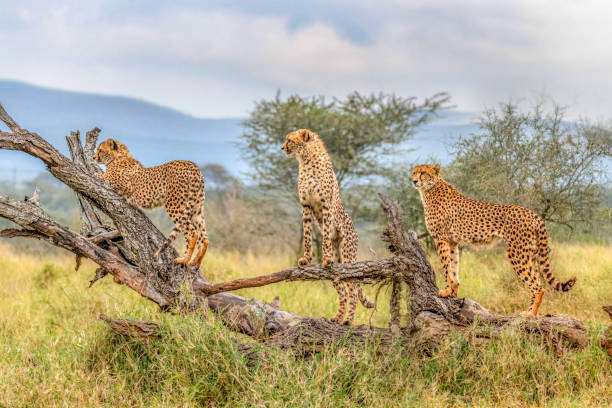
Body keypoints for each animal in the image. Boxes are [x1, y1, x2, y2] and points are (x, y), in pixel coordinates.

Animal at [94, 139, 209, 268]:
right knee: (204, 238)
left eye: (100, 150)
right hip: (196, 208)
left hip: (175, 205)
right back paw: (196, 261)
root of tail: (191, 165)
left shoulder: (126, 186)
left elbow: (105, 177)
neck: (118, 157)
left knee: (193, 234)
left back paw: (184, 260)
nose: (93, 157)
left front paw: (96, 174)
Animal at [280, 128, 372, 326]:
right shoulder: (306, 206)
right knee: (343, 292)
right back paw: (338, 317)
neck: (305, 160)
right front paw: (306, 259)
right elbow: (307, 236)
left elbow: (326, 236)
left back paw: (349, 320)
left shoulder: (325, 205)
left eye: (289, 140)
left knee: (353, 290)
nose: (282, 147)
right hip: (337, 272)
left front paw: (326, 257)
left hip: (347, 258)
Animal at [414, 164, 576, 318]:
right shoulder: (453, 242)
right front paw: (453, 292)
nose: (414, 181)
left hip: (517, 253)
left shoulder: (440, 239)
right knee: (538, 281)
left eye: (423, 173)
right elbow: (453, 267)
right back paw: (530, 311)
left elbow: (446, 267)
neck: (430, 188)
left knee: (538, 286)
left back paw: (530, 314)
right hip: (531, 253)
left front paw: (446, 292)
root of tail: (533, 213)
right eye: (414, 173)